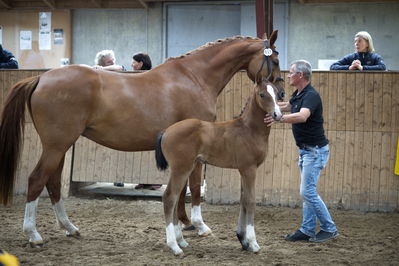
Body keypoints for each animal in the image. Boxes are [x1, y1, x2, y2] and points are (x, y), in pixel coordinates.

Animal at [0, 30, 284, 247]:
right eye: (276, 59)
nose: (281, 90)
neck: (194, 77)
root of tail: (41, 77)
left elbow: (180, 189)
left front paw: (183, 224)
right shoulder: (194, 149)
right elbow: (192, 186)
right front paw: (197, 225)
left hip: (60, 146)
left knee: (53, 183)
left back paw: (69, 227)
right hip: (56, 145)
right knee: (37, 180)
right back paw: (33, 234)